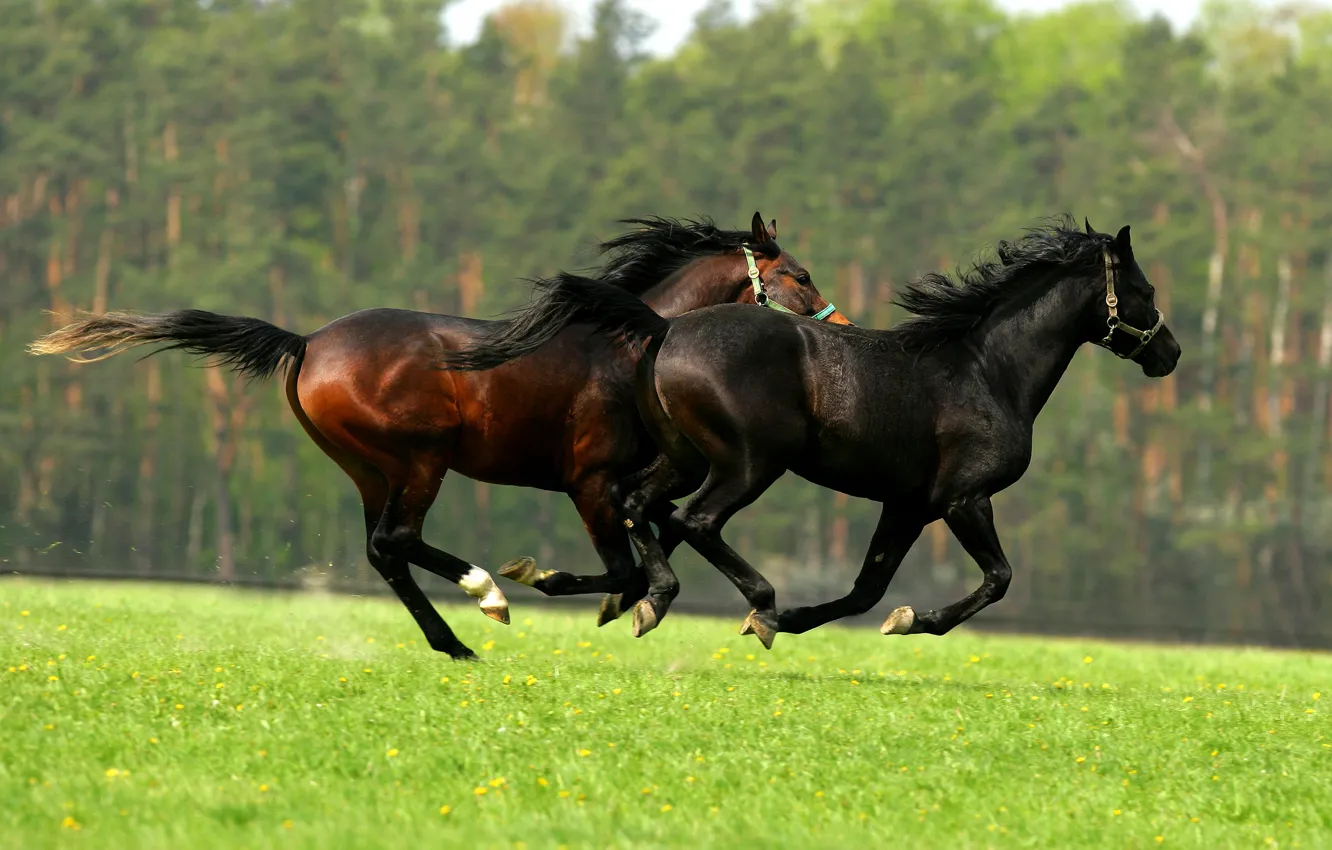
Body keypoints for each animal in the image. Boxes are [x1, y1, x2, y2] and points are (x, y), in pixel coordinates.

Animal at [29, 213, 849, 658]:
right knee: (397, 542)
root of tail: (307, 341)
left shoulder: (639, 483)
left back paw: (454, 638)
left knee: (383, 550)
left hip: (370, 469)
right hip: (420, 460)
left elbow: (654, 555)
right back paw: (486, 597)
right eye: (800, 273)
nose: (837, 326)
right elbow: (627, 568)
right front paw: (547, 581)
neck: (631, 344)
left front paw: (627, 603)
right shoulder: (593, 482)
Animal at [444, 218, 1181, 647]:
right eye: (1144, 290)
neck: (985, 369)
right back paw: (751, 606)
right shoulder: (964, 499)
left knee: (639, 506)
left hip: (684, 458)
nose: (1169, 353)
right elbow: (997, 578)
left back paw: (624, 594)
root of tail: (664, 328)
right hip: (749, 464)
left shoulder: (907, 504)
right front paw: (915, 621)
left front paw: (866, 617)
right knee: (692, 520)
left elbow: (866, 589)